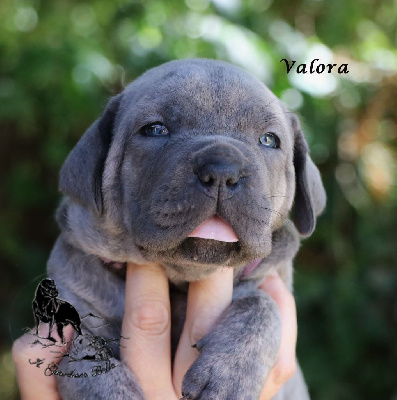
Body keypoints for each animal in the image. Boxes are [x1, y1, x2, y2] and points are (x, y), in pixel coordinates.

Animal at [47, 59, 324, 400]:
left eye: (269, 140)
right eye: (155, 129)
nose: (222, 170)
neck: (180, 281)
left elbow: (262, 306)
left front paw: (228, 372)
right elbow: (83, 349)